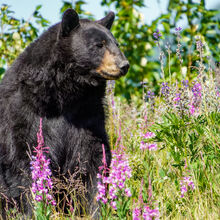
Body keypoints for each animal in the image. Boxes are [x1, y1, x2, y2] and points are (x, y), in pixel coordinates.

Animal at [0, 8, 129, 218]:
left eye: (115, 43)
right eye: (99, 45)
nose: (123, 65)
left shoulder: (88, 114)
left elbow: (93, 157)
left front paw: (96, 208)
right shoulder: (23, 113)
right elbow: (23, 159)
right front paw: (34, 208)